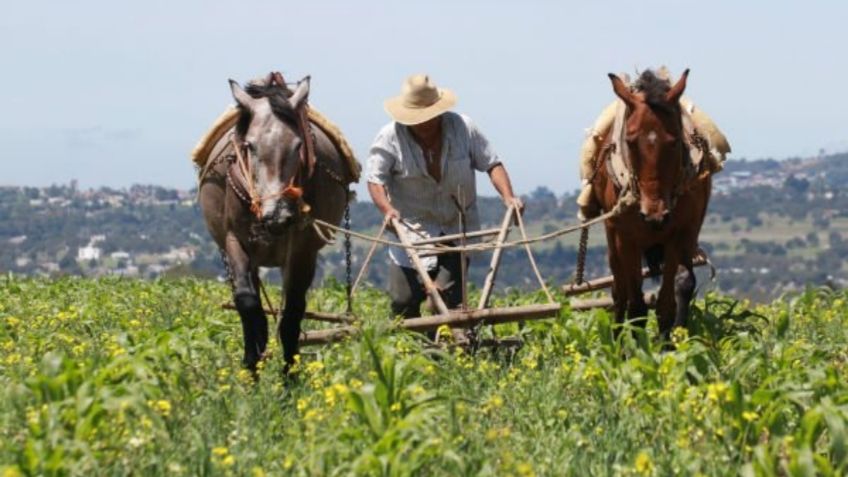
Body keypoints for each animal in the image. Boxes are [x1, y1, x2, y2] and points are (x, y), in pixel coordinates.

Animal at [200, 73, 352, 368]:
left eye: (298, 145)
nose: (277, 215)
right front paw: (252, 361)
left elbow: (293, 312)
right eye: (249, 146)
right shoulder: (235, 241)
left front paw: (289, 373)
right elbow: (247, 302)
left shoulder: (303, 250)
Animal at [592, 69, 712, 340]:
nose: (654, 215)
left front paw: (669, 345)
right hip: (613, 237)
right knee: (619, 290)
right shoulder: (627, 239)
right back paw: (615, 338)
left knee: (682, 282)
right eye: (630, 141)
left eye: (674, 141)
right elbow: (635, 304)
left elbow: (668, 302)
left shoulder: (678, 234)